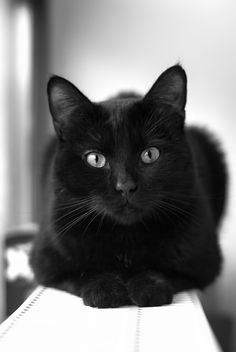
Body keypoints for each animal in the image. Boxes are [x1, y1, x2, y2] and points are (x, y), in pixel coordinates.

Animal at [30, 64, 227, 306]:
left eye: (150, 154)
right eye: (95, 159)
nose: (125, 186)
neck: (125, 240)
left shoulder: (203, 265)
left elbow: (162, 270)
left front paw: (147, 286)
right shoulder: (45, 264)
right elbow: (82, 272)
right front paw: (104, 288)